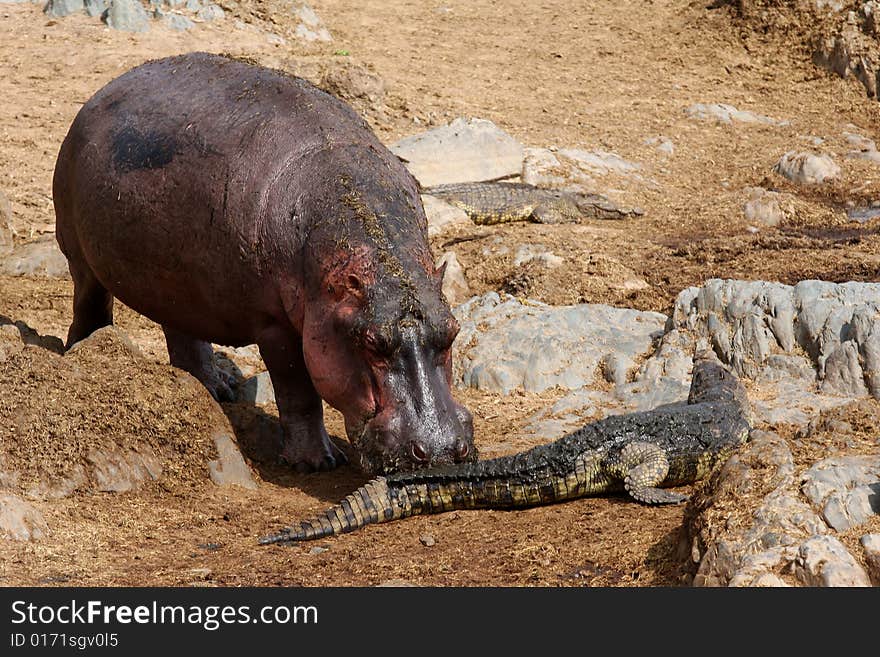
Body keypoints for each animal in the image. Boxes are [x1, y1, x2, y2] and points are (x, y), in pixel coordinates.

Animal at [51, 51, 478, 472]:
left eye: (452, 330)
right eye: (371, 341)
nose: (438, 450)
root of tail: (103, 91)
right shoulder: (274, 324)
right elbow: (298, 392)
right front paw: (315, 463)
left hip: (176, 280)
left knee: (182, 329)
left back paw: (216, 389)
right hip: (81, 256)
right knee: (90, 304)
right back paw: (85, 351)